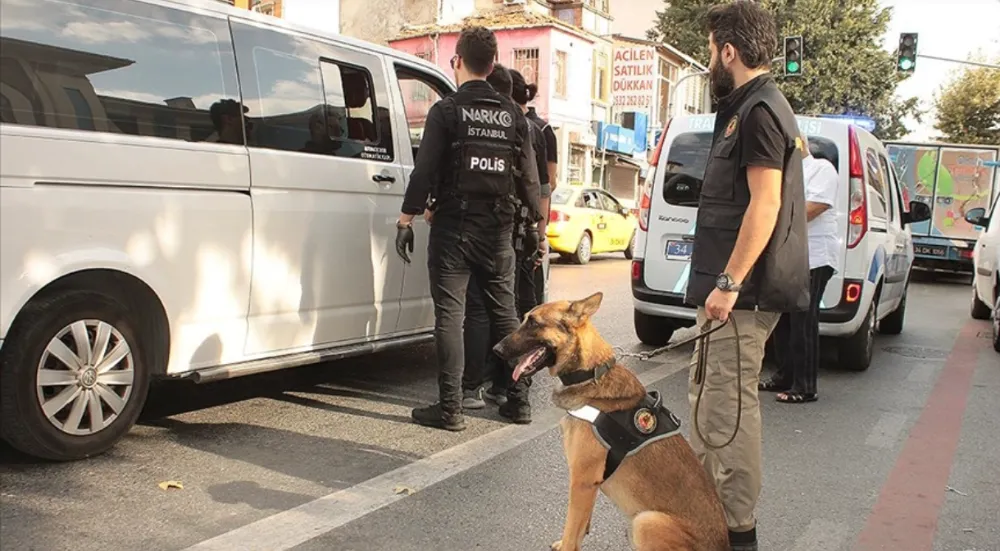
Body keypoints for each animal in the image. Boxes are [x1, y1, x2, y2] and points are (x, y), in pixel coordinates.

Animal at [492, 294, 728, 551]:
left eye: (533, 322)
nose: (496, 349)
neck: (589, 374)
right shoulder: (589, 487)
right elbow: (580, 527)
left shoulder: (582, 482)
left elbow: (571, 529)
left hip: (644, 522)